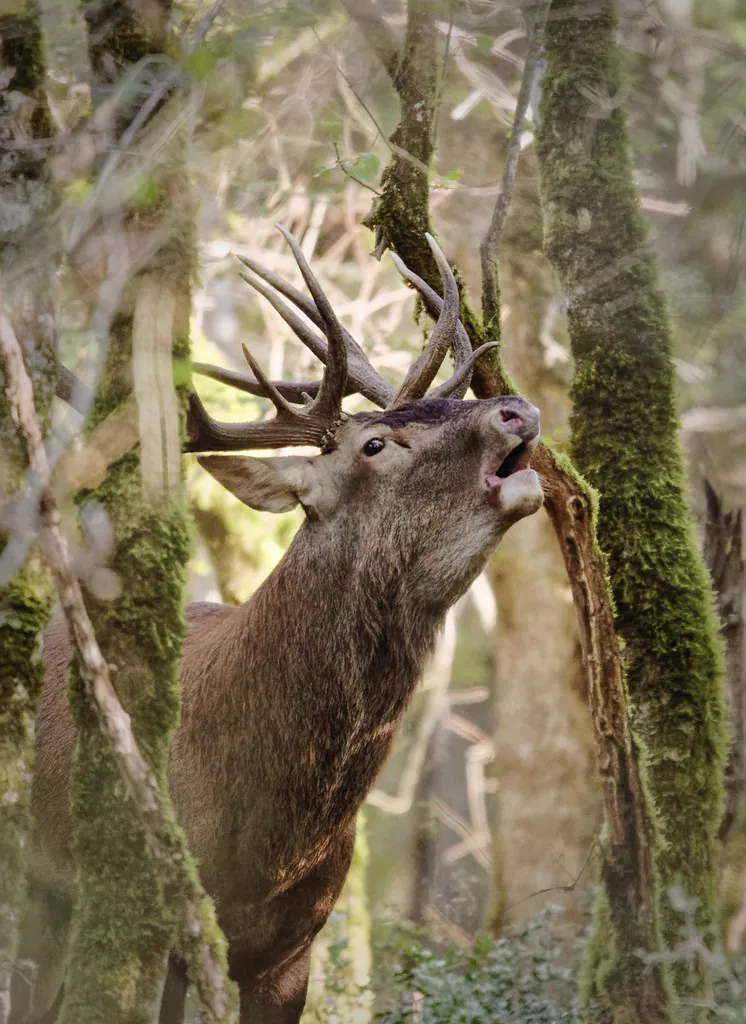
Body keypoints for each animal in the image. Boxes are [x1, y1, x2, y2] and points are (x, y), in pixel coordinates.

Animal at [11, 229, 543, 1024]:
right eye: (374, 445)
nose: (513, 409)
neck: (269, 841)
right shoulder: (146, 922)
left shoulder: (292, 951)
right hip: (39, 898)